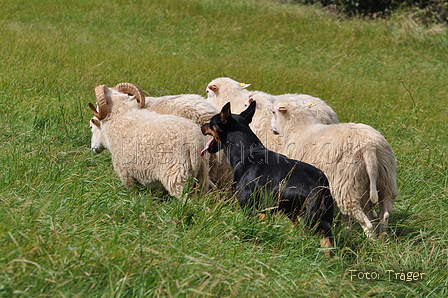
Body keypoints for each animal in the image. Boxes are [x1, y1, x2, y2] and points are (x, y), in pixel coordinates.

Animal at [201, 100, 334, 254]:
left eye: (210, 123)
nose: (201, 126)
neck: (247, 152)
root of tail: (320, 183)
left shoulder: (248, 205)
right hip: (313, 217)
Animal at [272, 97, 398, 237]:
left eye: (273, 112)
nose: (273, 130)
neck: (298, 129)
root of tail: (369, 147)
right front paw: (346, 230)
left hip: (347, 184)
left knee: (364, 221)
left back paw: (370, 240)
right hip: (385, 180)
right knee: (384, 215)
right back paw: (381, 238)